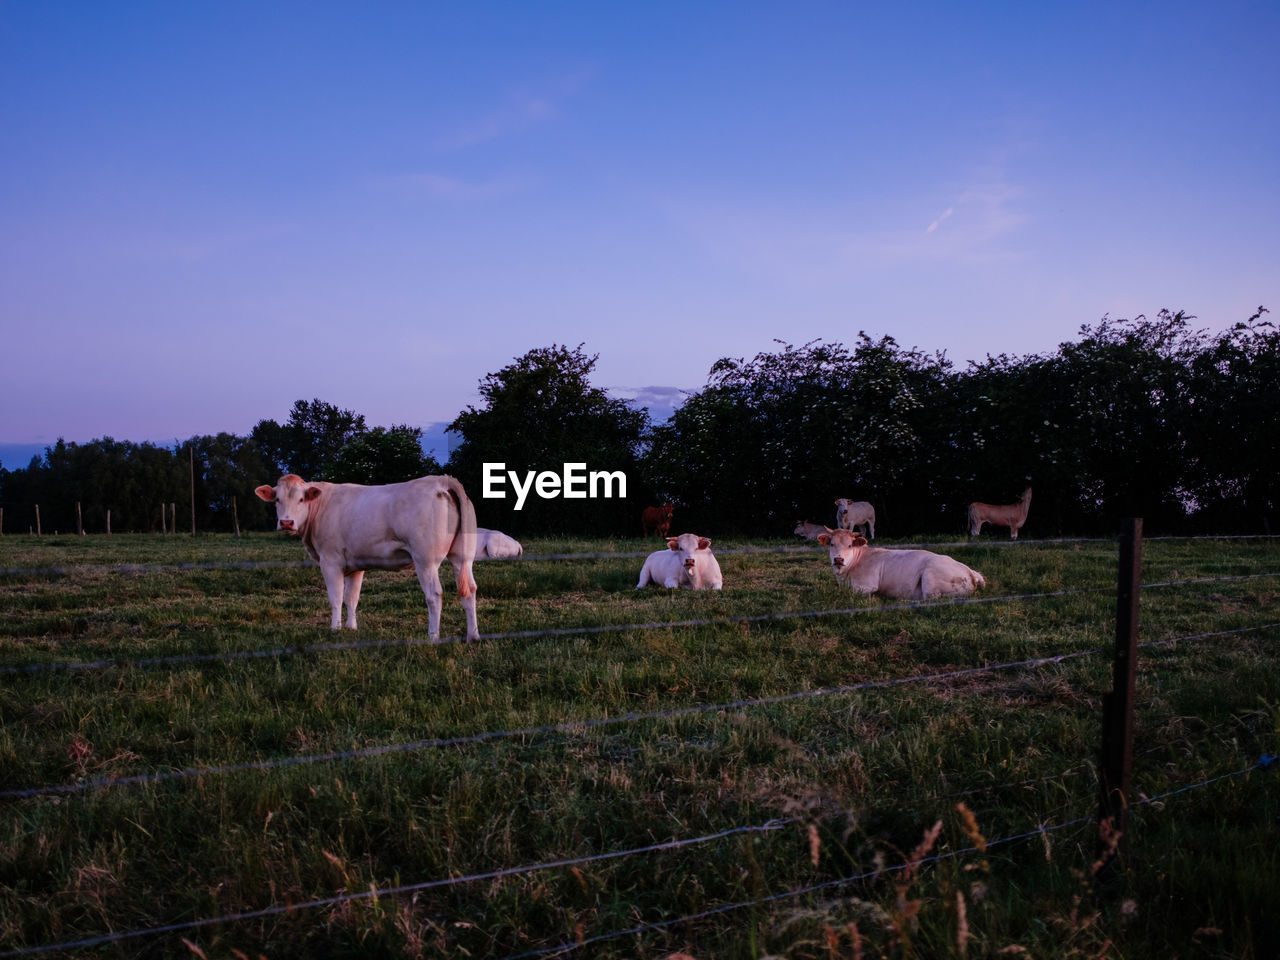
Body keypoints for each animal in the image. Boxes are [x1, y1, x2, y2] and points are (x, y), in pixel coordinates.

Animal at [254, 471, 481, 640]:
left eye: (301, 499)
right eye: (277, 500)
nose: (286, 522)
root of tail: (441, 480)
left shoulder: (330, 560)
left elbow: (336, 597)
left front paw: (335, 630)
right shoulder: (355, 564)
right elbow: (351, 597)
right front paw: (351, 628)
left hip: (426, 559)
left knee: (434, 595)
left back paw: (433, 637)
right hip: (462, 556)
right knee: (469, 590)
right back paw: (473, 637)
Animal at [814, 527, 983, 601]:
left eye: (850, 545)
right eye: (832, 544)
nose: (838, 559)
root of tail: (970, 573)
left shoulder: (867, 585)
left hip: (930, 579)